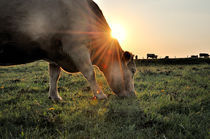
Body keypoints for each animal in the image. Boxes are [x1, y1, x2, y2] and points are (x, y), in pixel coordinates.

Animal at [0, 0, 137, 100]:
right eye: (133, 71)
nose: (134, 95)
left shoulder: (55, 54)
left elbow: (54, 75)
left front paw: (55, 97)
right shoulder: (77, 47)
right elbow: (90, 72)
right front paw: (100, 95)